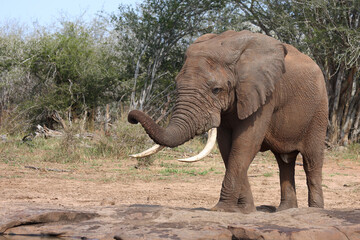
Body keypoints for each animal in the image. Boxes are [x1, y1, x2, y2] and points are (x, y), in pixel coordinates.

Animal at [128, 30, 328, 214]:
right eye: (177, 84)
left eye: (216, 90)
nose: (131, 118)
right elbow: (227, 147)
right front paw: (245, 211)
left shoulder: (264, 94)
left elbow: (245, 144)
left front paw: (222, 209)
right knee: (284, 161)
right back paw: (285, 211)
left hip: (319, 110)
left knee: (311, 161)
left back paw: (315, 211)